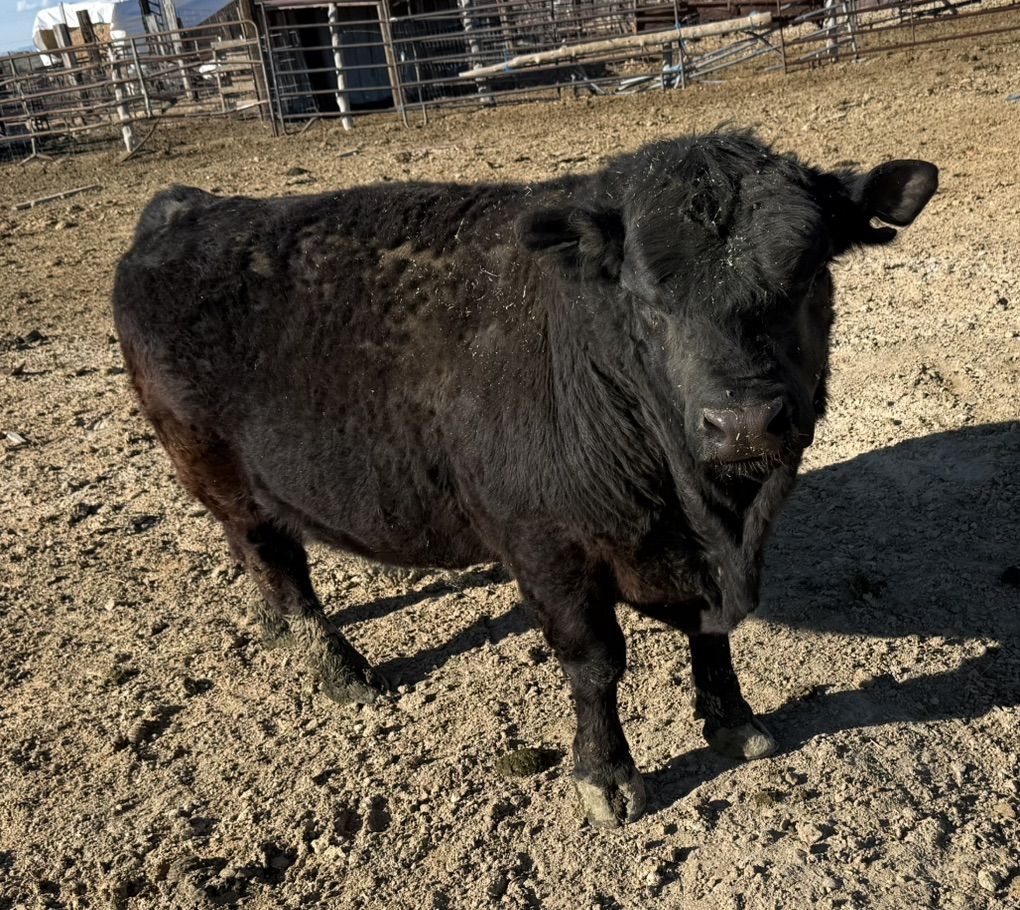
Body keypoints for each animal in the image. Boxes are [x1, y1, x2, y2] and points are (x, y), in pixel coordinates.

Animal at [112, 131, 937, 827]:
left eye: (808, 274)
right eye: (647, 299)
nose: (742, 423)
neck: (709, 517)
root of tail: (188, 208)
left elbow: (712, 638)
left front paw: (734, 720)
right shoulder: (549, 548)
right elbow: (596, 663)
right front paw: (607, 776)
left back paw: (279, 630)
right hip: (214, 466)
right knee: (275, 558)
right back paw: (335, 665)